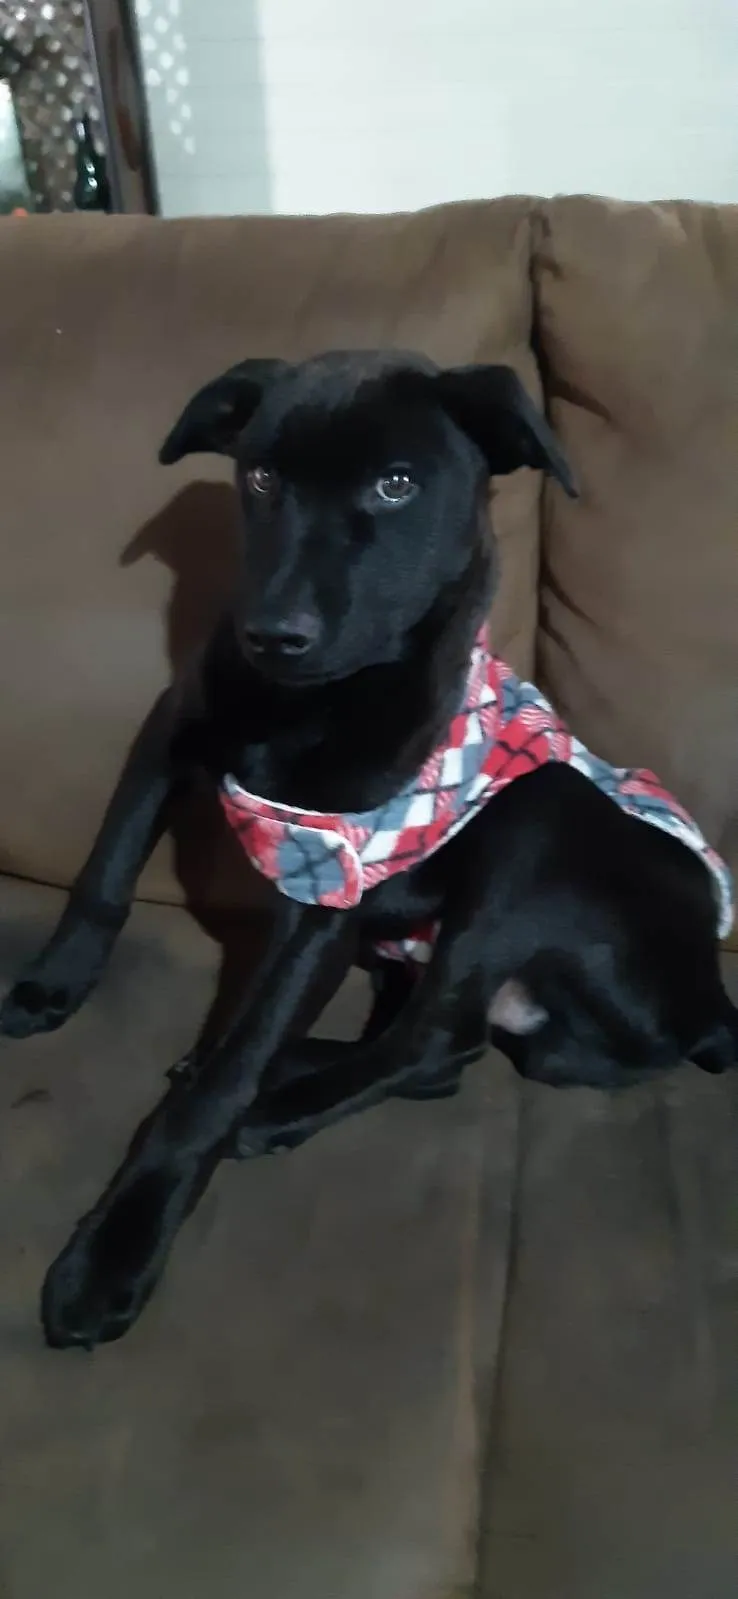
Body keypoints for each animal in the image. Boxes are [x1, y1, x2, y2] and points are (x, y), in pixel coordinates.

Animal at [1, 349, 735, 1351]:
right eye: (262, 479)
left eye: (396, 485)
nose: (274, 634)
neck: (312, 704)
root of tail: (708, 998)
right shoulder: (173, 729)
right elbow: (105, 875)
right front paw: (55, 984)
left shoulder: (333, 872)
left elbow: (217, 1090)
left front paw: (113, 1251)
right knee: (435, 1042)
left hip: (535, 835)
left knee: (434, 1044)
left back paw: (274, 1104)